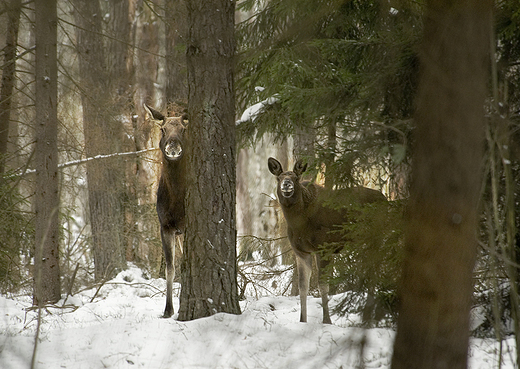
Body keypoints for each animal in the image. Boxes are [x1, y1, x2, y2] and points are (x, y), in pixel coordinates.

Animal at [268, 157, 386, 324]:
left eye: (296, 178)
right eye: (279, 178)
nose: (286, 184)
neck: (298, 223)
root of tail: (386, 199)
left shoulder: (324, 247)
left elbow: (323, 285)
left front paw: (327, 321)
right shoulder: (301, 252)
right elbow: (303, 286)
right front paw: (302, 320)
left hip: (377, 238)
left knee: (374, 273)